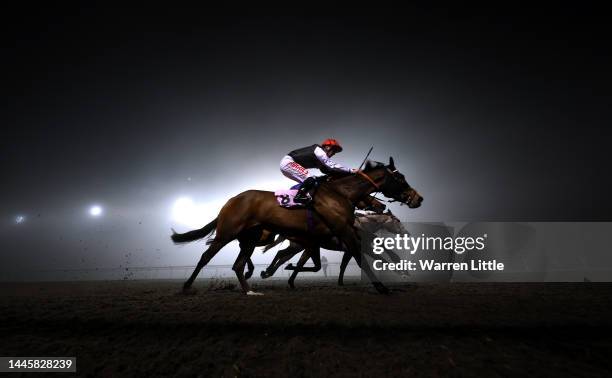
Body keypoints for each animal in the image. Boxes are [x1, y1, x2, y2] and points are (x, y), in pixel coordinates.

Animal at [170, 157, 424, 296]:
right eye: (400, 178)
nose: (418, 198)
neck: (340, 193)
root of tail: (231, 200)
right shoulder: (341, 232)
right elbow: (361, 257)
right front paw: (382, 288)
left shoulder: (328, 237)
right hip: (227, 232)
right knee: (206, 257)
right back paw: (186, 286)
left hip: (250, 238)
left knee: (239, 264)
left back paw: (250, 290)